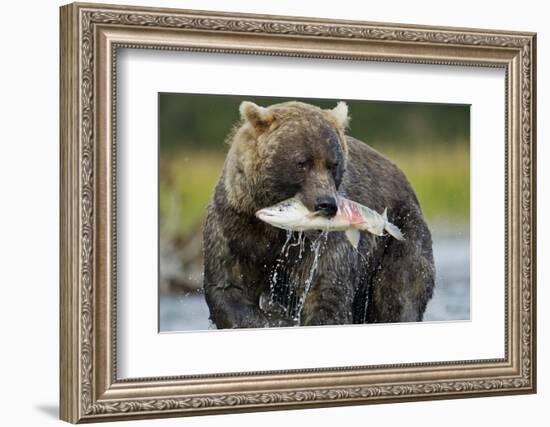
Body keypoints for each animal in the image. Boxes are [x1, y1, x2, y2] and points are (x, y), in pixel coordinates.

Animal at [203, 102, 436, 330]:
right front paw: (279, 319)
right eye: (301, 163)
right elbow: (230, 288)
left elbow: (326, 291)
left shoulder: (324, 242)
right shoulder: (235, 224)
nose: (326, 204)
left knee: (399, 292)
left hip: (400, 233)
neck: (277, 230)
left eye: (333, 164)